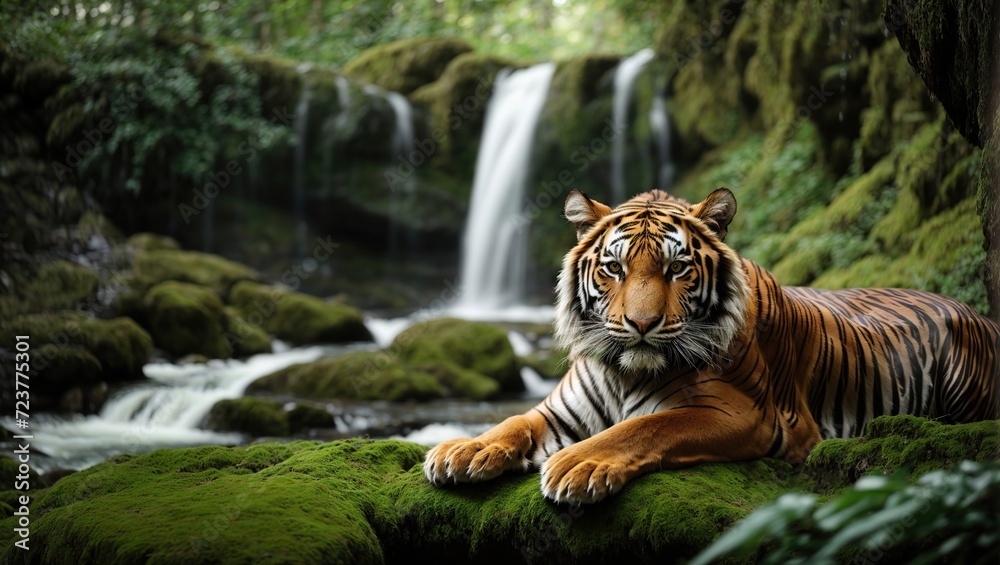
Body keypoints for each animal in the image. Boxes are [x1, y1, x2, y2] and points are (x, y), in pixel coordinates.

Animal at [424, 188, 1000, 504]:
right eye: (614, 268)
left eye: (677, 268)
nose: (641, 323)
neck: (624, 371)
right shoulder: (559, 412)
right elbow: (512, 421)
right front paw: (462, 449)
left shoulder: (745, 413)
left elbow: (647, 426)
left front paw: (577, 466)